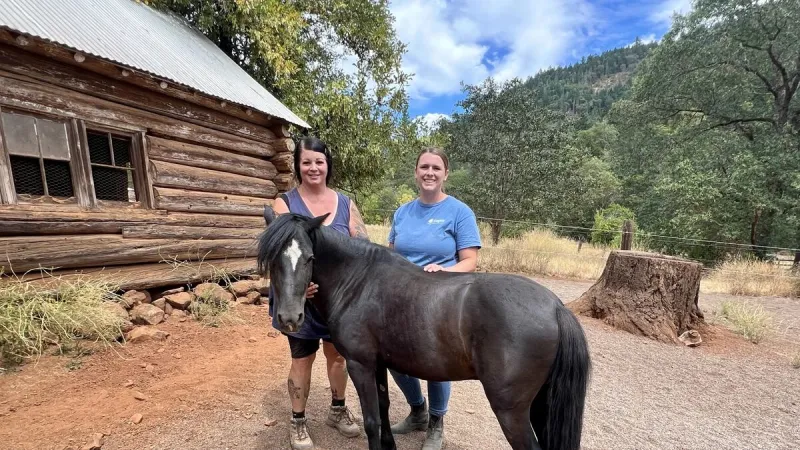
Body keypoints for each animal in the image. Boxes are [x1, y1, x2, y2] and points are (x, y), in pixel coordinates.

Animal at [257, 206, 591, 450]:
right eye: (272, 258)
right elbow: (383, 409)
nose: (290, 317)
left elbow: (372, 420)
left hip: (511, 410)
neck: (359, 281)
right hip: (541, 403)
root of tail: (556, 307)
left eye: (310, 258)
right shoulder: (377, 364)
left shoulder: (360, 364)